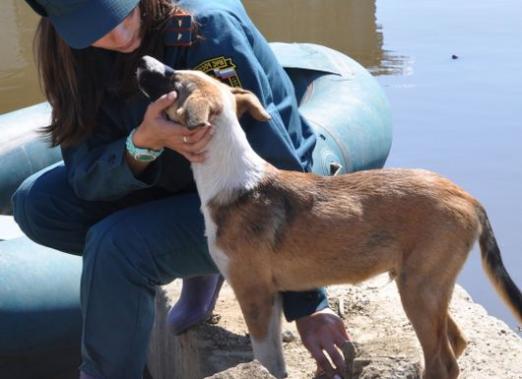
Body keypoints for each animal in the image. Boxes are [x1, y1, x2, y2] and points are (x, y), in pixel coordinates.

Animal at [136, 56, 516, 379]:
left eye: (173, 79)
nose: (141, 61)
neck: (235, 181)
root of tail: (467, 197)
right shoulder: (271, 296)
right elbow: (275, 360)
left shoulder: (253, 291)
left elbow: (265, 355)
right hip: (427, 287)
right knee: (457, 342)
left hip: (419, 289)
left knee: (444, 362)